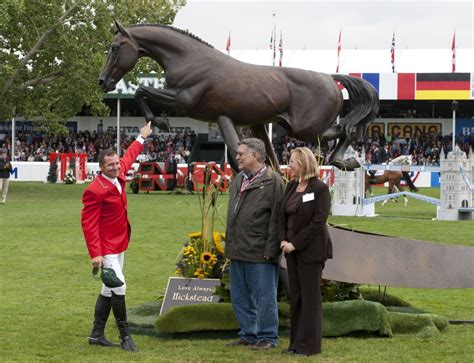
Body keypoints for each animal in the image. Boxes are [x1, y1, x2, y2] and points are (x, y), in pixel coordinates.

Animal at [99, 21, 378, 172]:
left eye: (114, 48)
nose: (103, 81)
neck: (188, 59)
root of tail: (330, 78)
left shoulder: (183, 100)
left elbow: (141, 91)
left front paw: (161, 122)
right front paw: (158, 121)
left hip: (306, 128)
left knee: (347, 130)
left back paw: (344, 161)